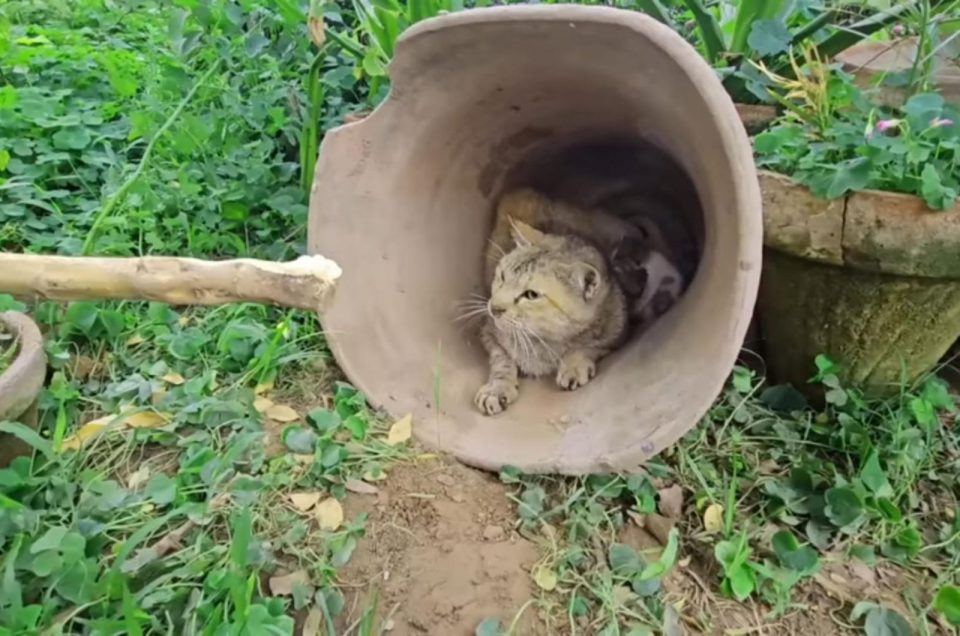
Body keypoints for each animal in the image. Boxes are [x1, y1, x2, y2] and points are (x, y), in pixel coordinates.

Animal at [474, 220, 632, 418]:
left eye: (531, 295)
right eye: (502, 277)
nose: (493, 308)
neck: (543, 339)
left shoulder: (617, 331)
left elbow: (590, 346)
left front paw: (574, 365)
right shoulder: (489, 331)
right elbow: (501, 360)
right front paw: (497, 388)